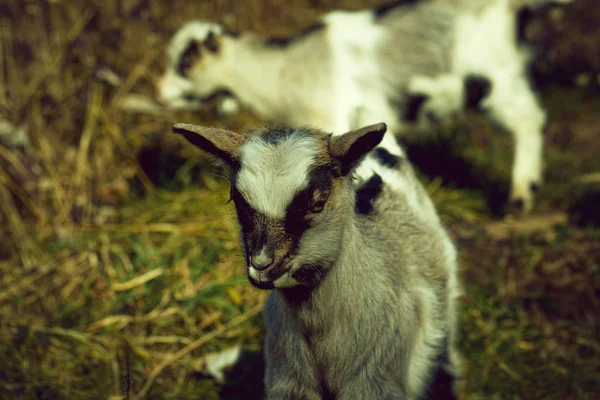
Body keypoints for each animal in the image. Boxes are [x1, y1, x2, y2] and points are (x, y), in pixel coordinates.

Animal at [157, 0, 576, 216]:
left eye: (186, 62)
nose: (160, 91)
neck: (285, 71)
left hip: (495, 75)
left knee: (529, 119)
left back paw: (520, 195)